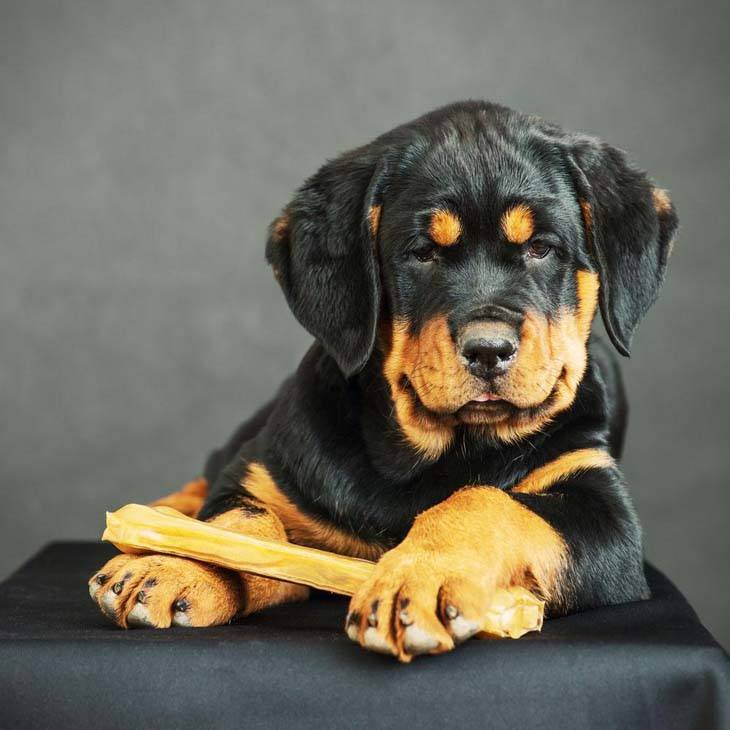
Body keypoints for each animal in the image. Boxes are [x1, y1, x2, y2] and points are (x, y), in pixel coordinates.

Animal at [88, 101, 672, 660]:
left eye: (542, 249)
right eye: (422, 253)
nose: (489, 349)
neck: (436, 454)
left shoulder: (607, 517)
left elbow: (486, 503)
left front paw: (417, 581)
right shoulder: (262, 472)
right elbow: (239, 524)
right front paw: (172, 564)